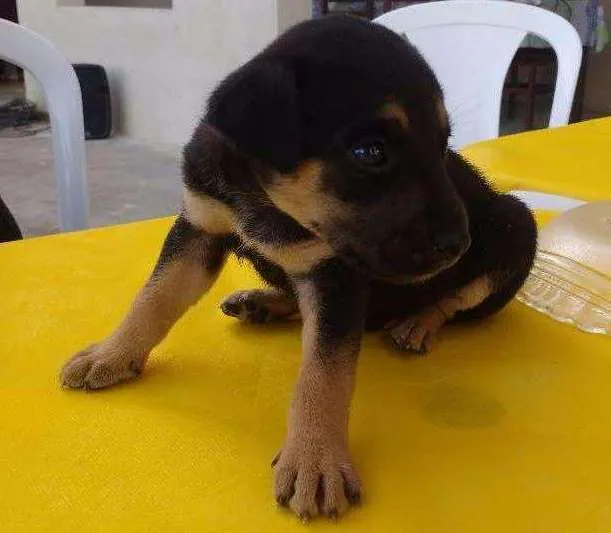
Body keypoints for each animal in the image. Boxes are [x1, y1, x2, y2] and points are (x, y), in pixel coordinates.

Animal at [58, 15, 536, 520]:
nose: (459, 246)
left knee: (457, 300)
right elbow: (153, 297)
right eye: (370, 152)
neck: (270, 200)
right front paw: (111, 354)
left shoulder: (334, 276)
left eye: (443, 144)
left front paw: (315, 459)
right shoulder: (198, 227)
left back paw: (417, 322)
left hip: (515, 224)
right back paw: (263, 301)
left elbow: (323, 374)